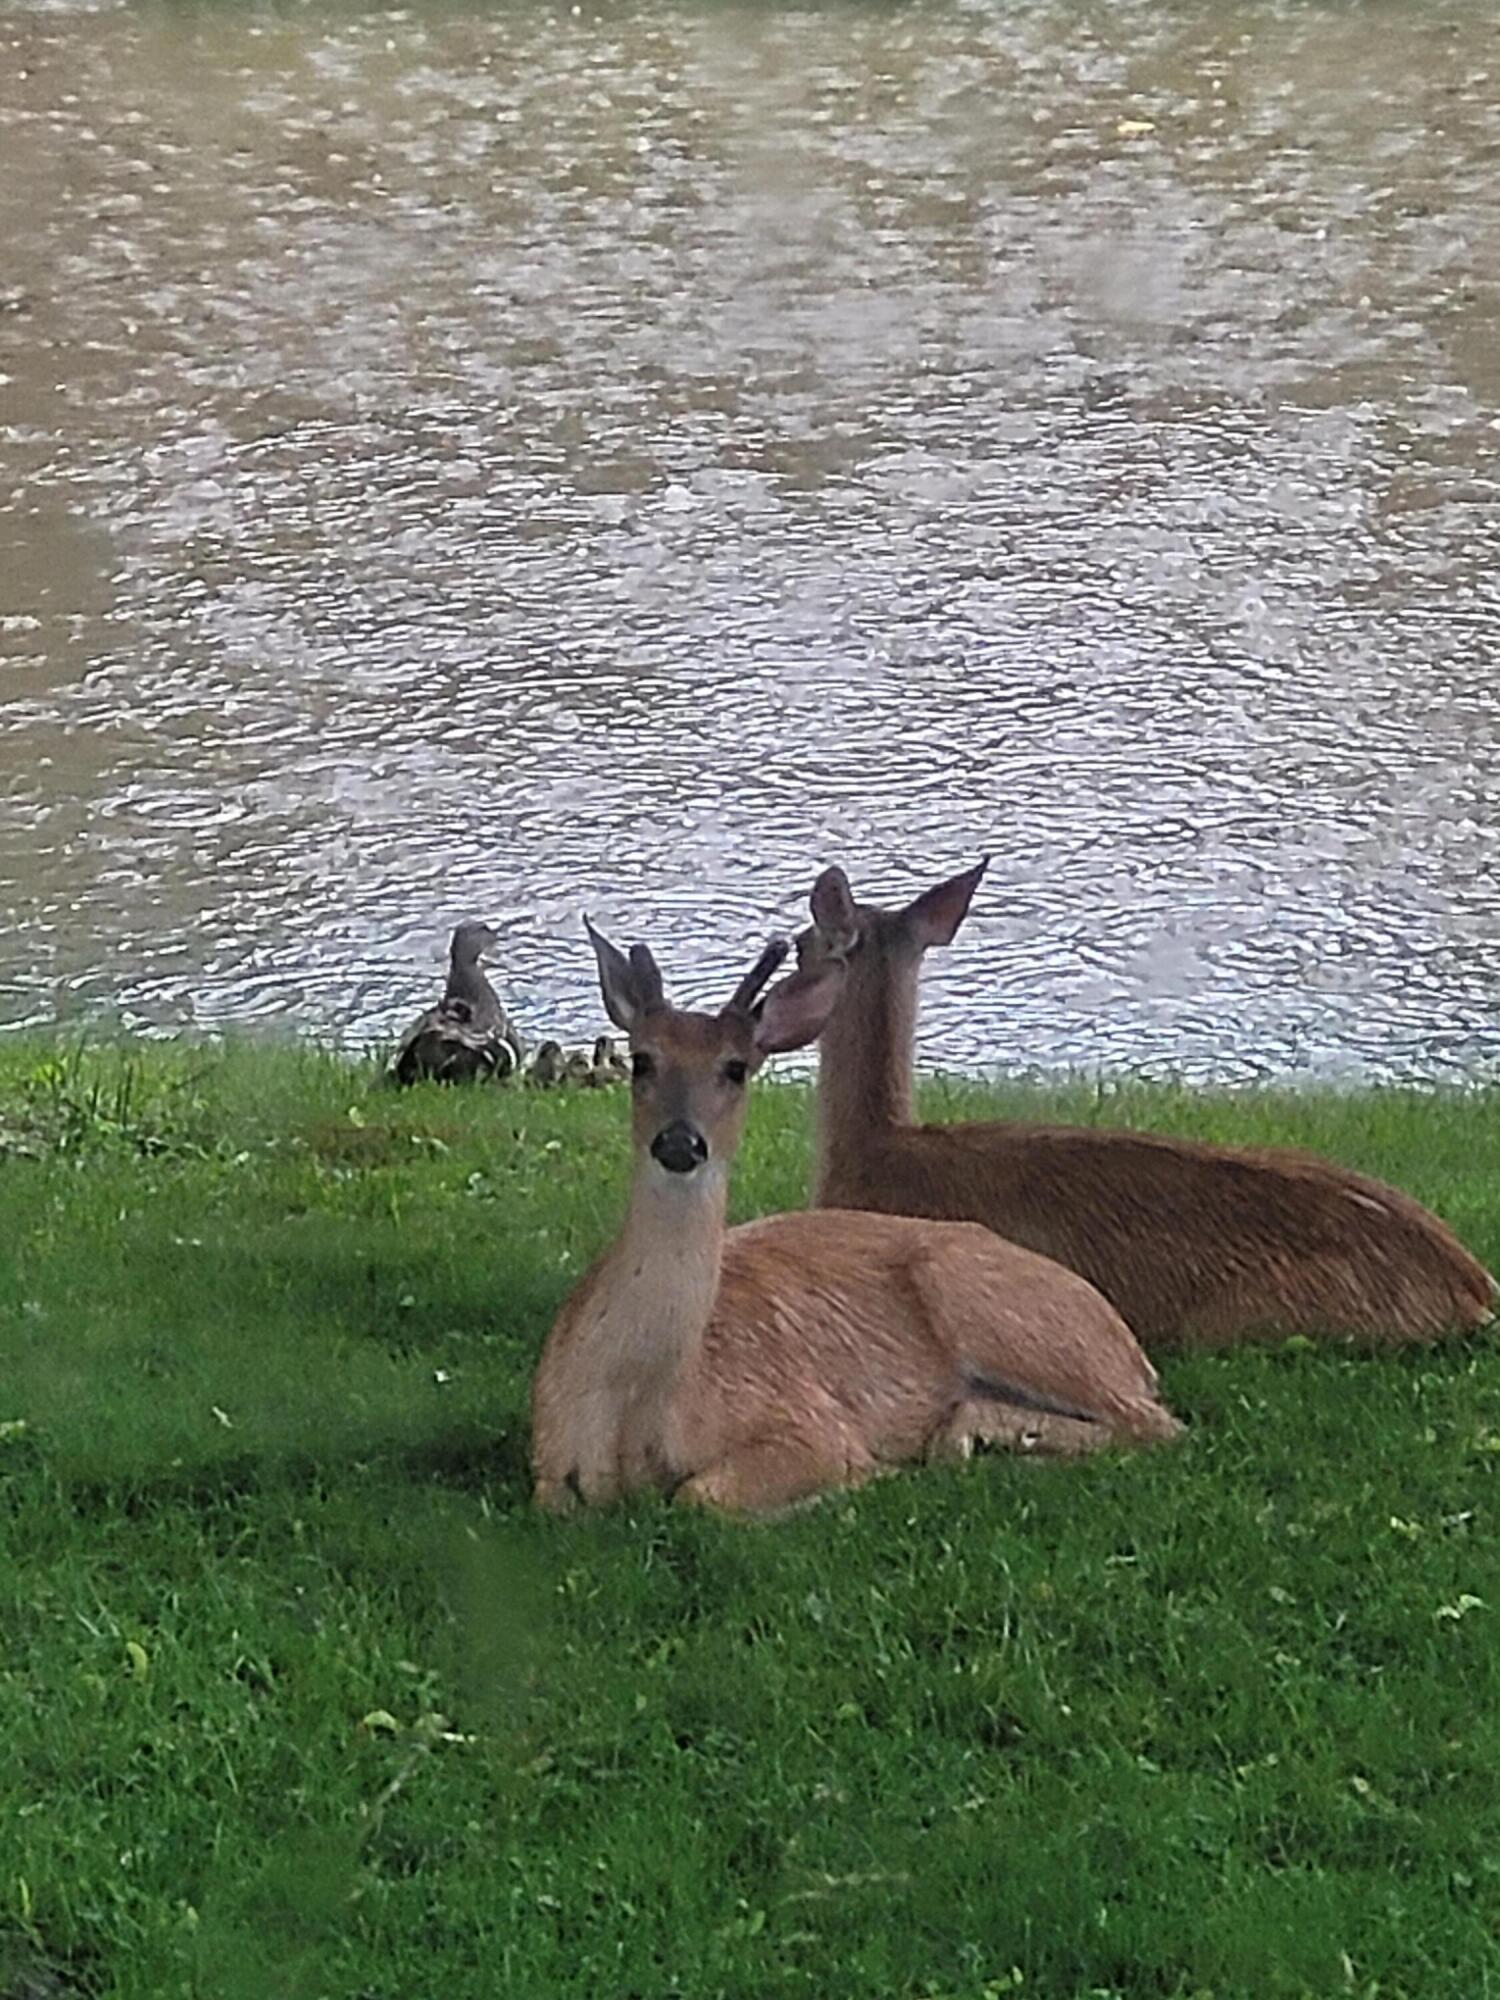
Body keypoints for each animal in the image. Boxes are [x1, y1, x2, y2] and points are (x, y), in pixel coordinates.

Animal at [532, 920, 1184, 1512]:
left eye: (737, 1066)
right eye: (642, 1059)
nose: (679, 1142)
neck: (635, 1406)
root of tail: (1129, 1346)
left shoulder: (807, 1418)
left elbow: (702, 1494)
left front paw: (863, 1475)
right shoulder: (545, 1459)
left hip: (991, 1306)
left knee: (1157, 1423)